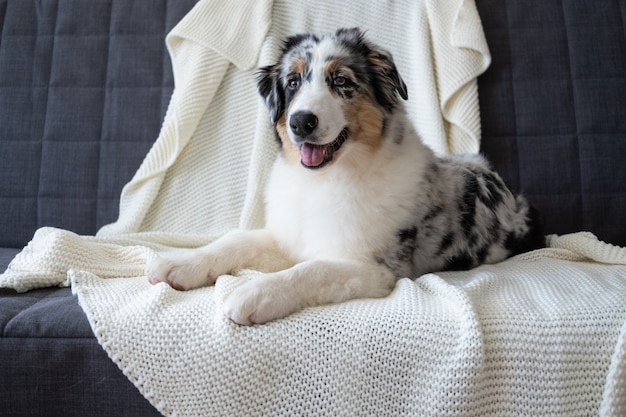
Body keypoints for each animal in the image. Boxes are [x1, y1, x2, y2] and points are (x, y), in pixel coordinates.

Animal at [146, 28, 540, 324]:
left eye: (341, 81)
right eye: (293, 82)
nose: (301, 122)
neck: (322, 181)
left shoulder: (375, 268)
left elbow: (311, 270)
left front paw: (254, 294)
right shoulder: (286, 235)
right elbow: (234, 240)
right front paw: (178, 264)